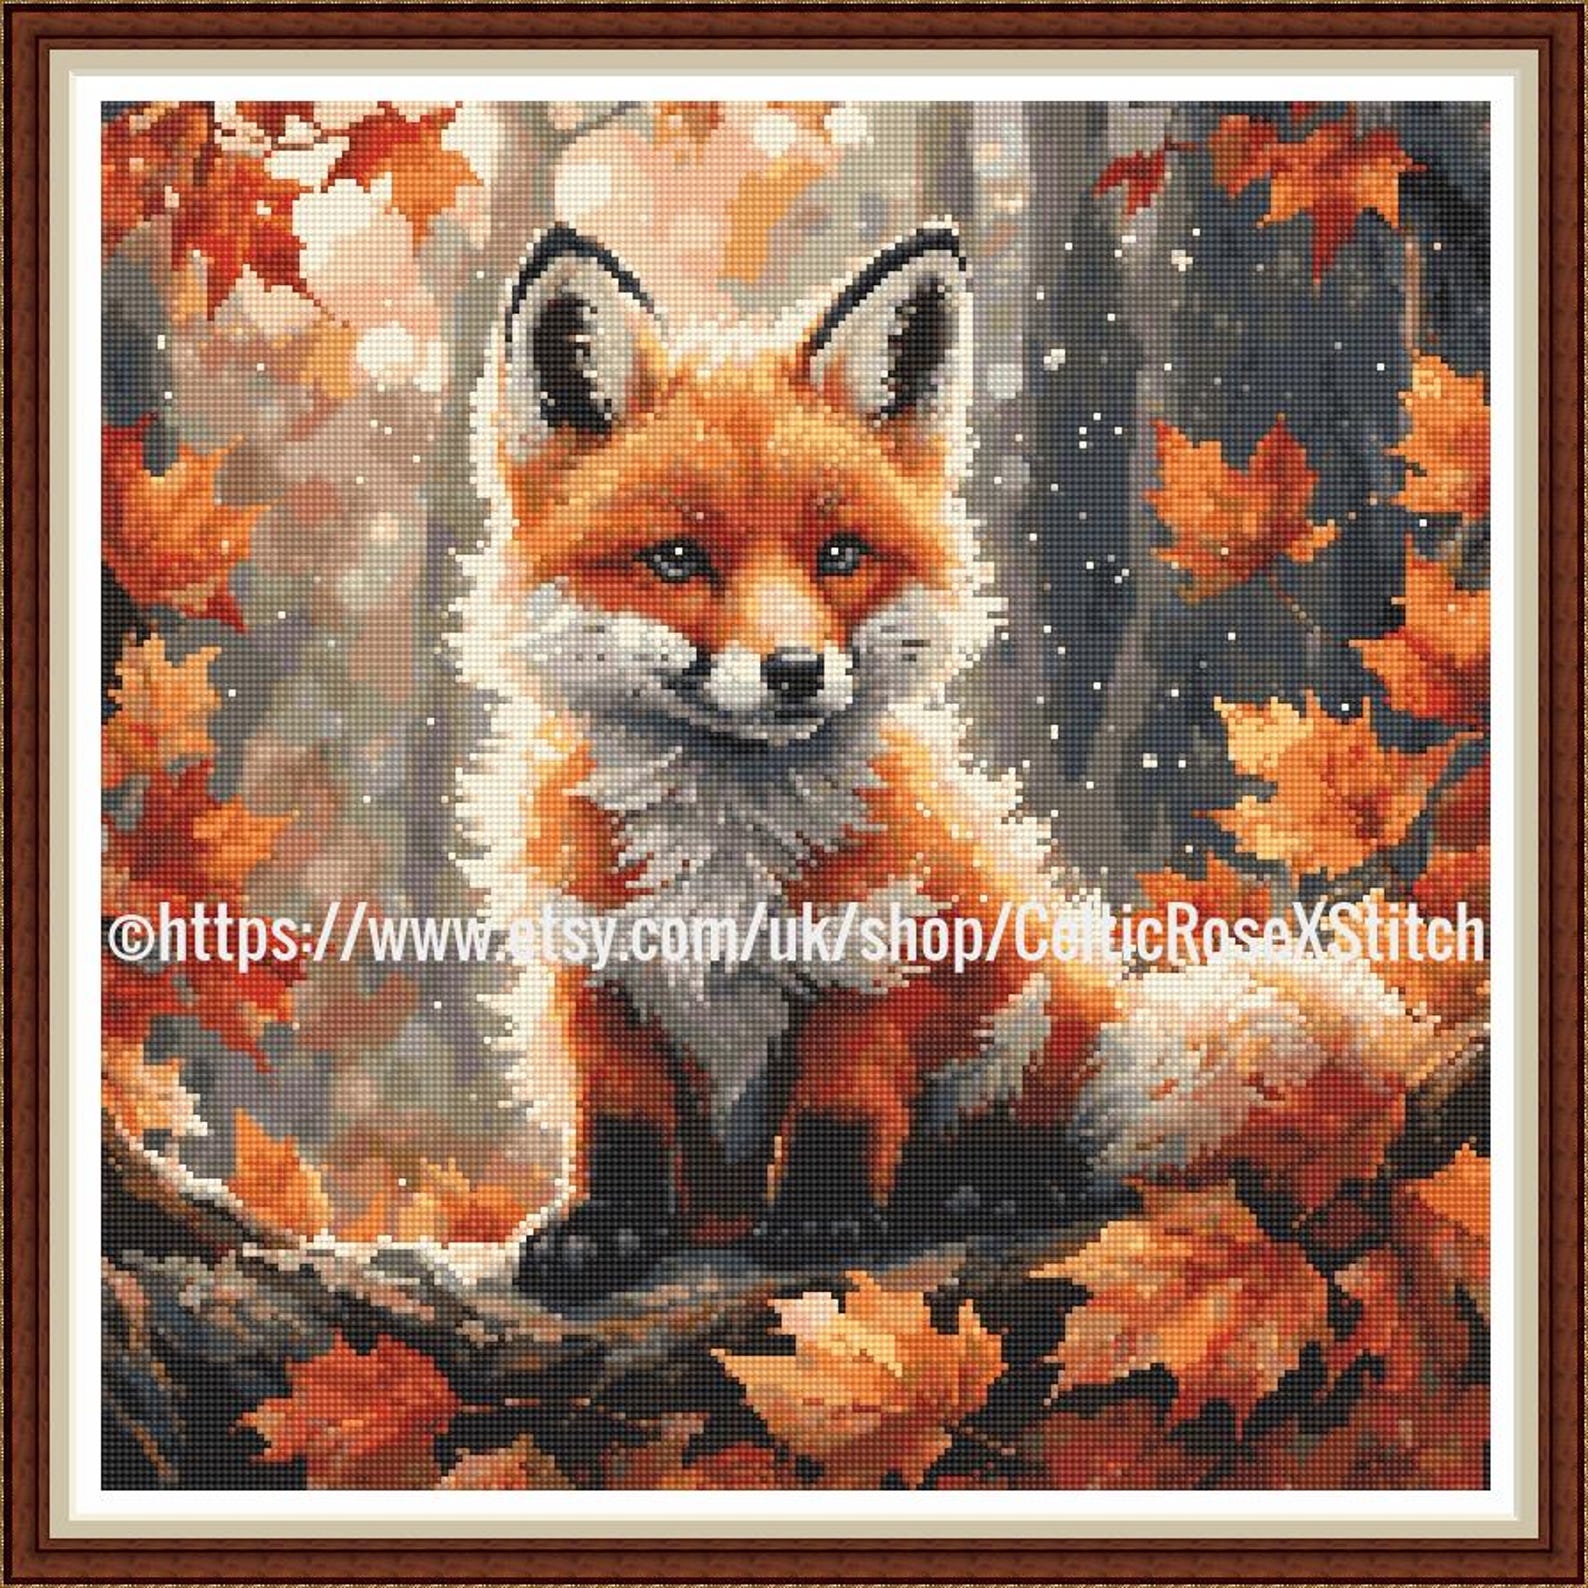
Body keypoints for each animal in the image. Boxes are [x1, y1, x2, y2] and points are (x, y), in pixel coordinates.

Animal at [455, 223, 1457, 1305]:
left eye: (840, 555)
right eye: (676, 560)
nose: (796, 671)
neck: (724, 859)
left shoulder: (875, 957)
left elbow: (843, 1108)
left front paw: (822, 1220)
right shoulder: (600, 974)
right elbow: (620, 1127)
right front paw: (604, 1230)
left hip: (1026, 1016)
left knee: (1055, 1149)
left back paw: (986, 1189)